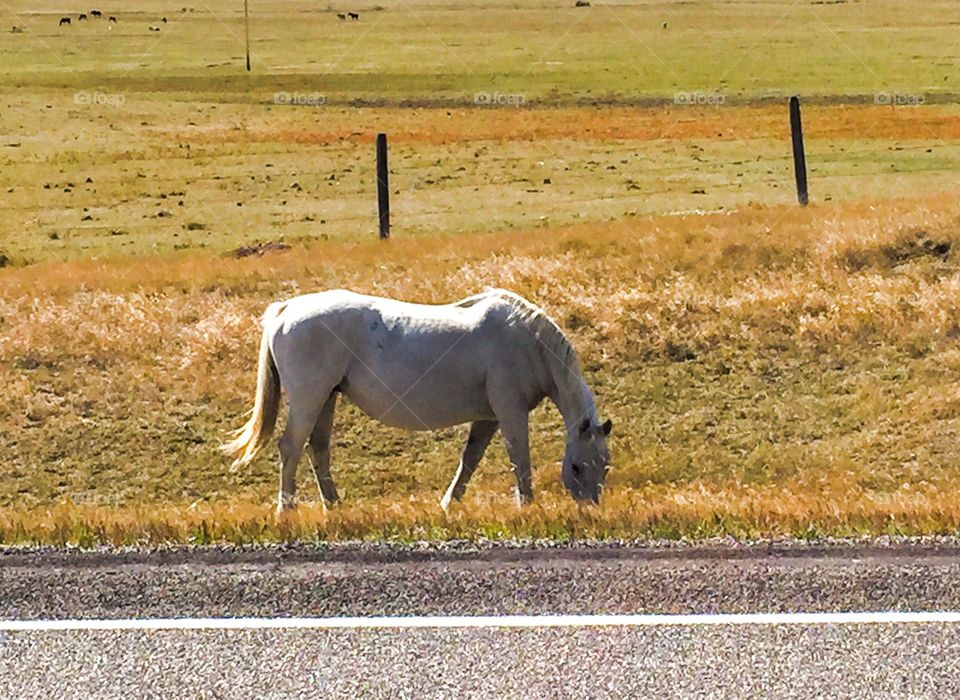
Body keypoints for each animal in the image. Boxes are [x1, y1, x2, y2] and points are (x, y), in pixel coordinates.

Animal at [223, 288, 616, 512]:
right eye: (576, 466)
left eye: (605, 465)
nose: (590, 508)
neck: (528, 342)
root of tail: (286, 308)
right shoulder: (510, 412)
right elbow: (520, 459)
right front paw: (527, 507)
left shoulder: (488, 418)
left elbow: (470, 460)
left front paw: (449, 504)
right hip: (310, 398)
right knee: (291, 447)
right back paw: (286, 509)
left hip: (326, 399)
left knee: (316, 449)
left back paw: (333, 506)